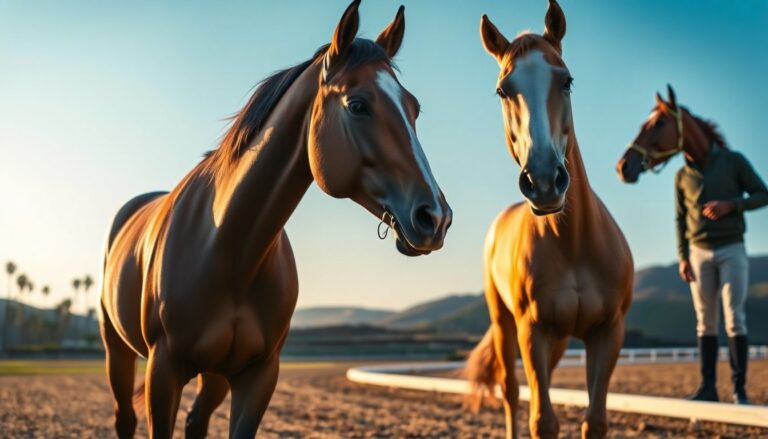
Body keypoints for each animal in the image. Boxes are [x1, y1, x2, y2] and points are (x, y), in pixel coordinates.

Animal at [99, 2, 452, 437]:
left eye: (414, 108)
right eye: (358, 105)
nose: (435, 217)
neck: (227, 245)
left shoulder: (258, 375)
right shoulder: (163, 372)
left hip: (214, 376)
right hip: (118, 351)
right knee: (125, 418)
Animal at [466, 1, 634, 438]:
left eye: (567, 81)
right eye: (502, 90)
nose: (543, 181)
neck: (574, 244)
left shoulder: (607, 332)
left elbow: (595, 420)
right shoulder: (533, 330)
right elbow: (542, 419)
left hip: (559, 340)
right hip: (506, 324)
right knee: (510, 390)